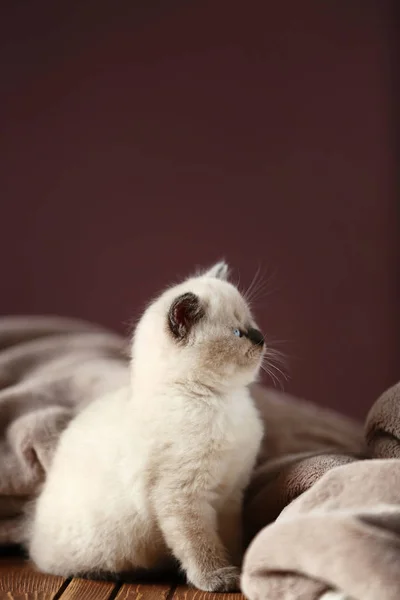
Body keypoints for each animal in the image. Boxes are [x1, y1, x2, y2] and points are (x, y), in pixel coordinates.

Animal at [28, 262, 266, 592]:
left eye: (250, 323)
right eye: (237, 333)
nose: (260, 337)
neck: (222, 401)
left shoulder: (230, 496)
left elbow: (232, 540)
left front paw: (241, 568)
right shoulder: (181, 498)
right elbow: (200, 546)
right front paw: (219, 578)